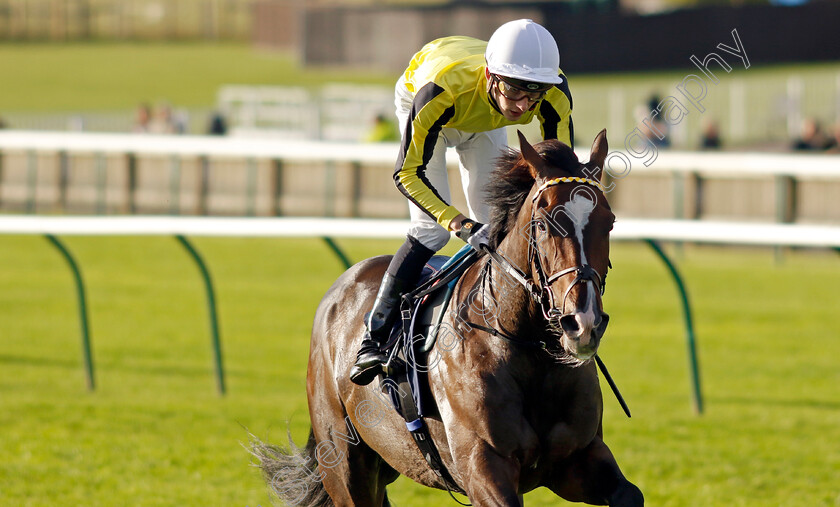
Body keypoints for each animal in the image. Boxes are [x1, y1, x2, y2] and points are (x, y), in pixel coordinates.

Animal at [249, 132, 644, 507]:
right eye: (545, 224)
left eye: (609, 222)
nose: (583, 322)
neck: (528, 350)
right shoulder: (483, 465)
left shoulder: (578, 459)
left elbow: (630, 494)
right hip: (345, 462)